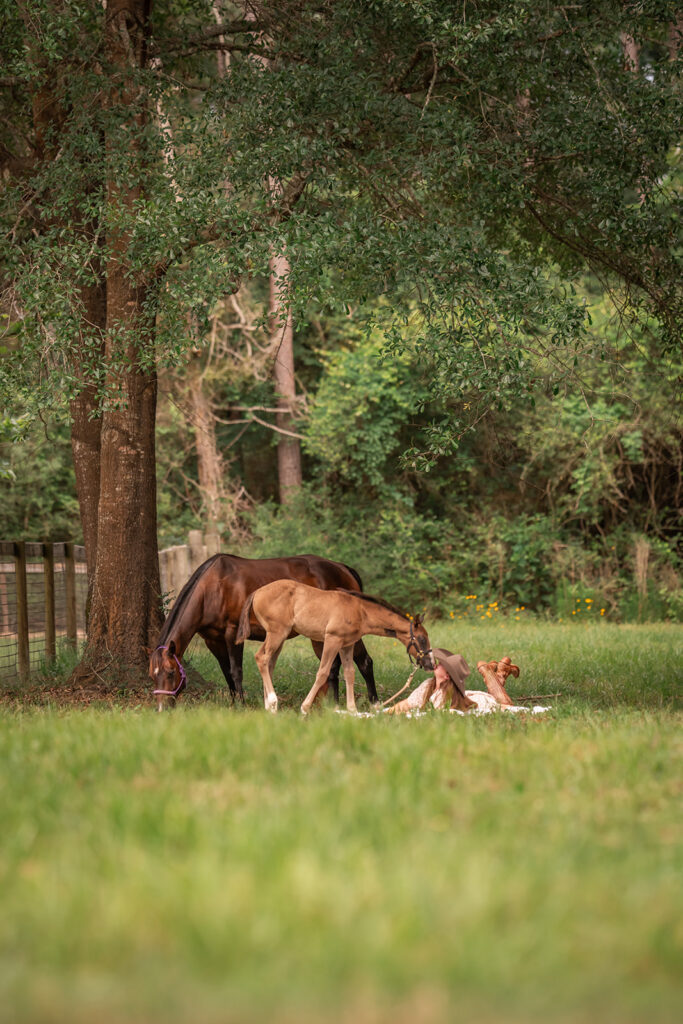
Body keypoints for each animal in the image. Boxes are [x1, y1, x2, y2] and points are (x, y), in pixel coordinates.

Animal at [149, 553, 378, 711]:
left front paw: (241, 705)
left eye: (171, 672)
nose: (161, 708)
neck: (213, 588)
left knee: (364, 662)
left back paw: (374, 704)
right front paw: (234, 702)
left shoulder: (233, 634)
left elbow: (236, 671)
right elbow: (226, 672)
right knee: (333, 667)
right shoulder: (213, 641)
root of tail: (343, 568)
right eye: (152, 675)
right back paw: (330, 705)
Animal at [236, 579, 434, 714]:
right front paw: (305, 708)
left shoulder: (347, 645)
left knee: (269, 663)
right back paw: (273, 701)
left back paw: (269, 707)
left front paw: (352, 710)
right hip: (277, 633)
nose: (431, 664)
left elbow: (349, 673)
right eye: (422, 639)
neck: (360, 611)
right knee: (261, 657)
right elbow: (323, 672)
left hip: (279, 637)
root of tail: (256, 592)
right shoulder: (332, 639)